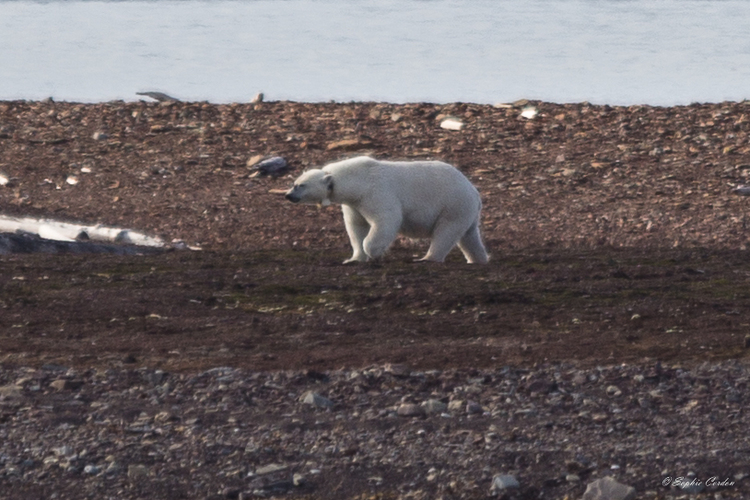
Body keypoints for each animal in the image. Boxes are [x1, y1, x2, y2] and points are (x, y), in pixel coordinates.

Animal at [284, 156, 490, 266]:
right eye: (294, 183)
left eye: (300, 185)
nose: (287, 195)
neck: (358, 179)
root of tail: (474, 190)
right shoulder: (354, 203)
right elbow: (356, 227)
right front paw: (354, 259)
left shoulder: (375, 192)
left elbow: (386, 219)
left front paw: (375, 253)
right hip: (465, 209)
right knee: (468, 236)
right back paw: (478, 259)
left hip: (452, 204)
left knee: (446, 231)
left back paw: (427, 258)